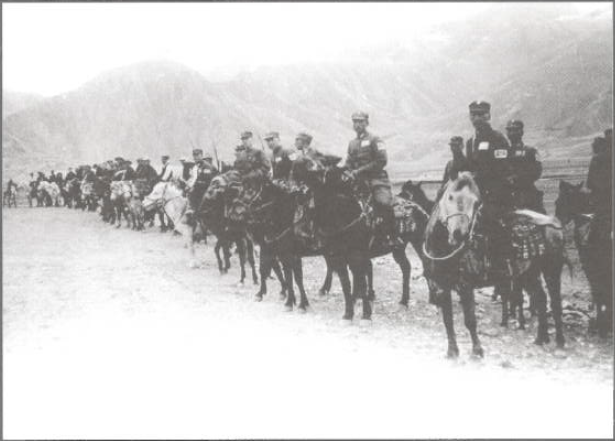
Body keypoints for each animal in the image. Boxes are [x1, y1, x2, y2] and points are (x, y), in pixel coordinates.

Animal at [424, 172, 567, 358]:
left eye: (476, 203)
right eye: (450, 197)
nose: (459, 235)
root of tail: (553, 222)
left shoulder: (465, 286)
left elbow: (470, 320)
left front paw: (477, 352)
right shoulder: (442, 287)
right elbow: (448, 320)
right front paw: (452, 352)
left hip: (552, 271)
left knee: (555, 303)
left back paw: (559, 341)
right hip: (528, 273)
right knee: (541, 299)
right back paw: (540, 339)